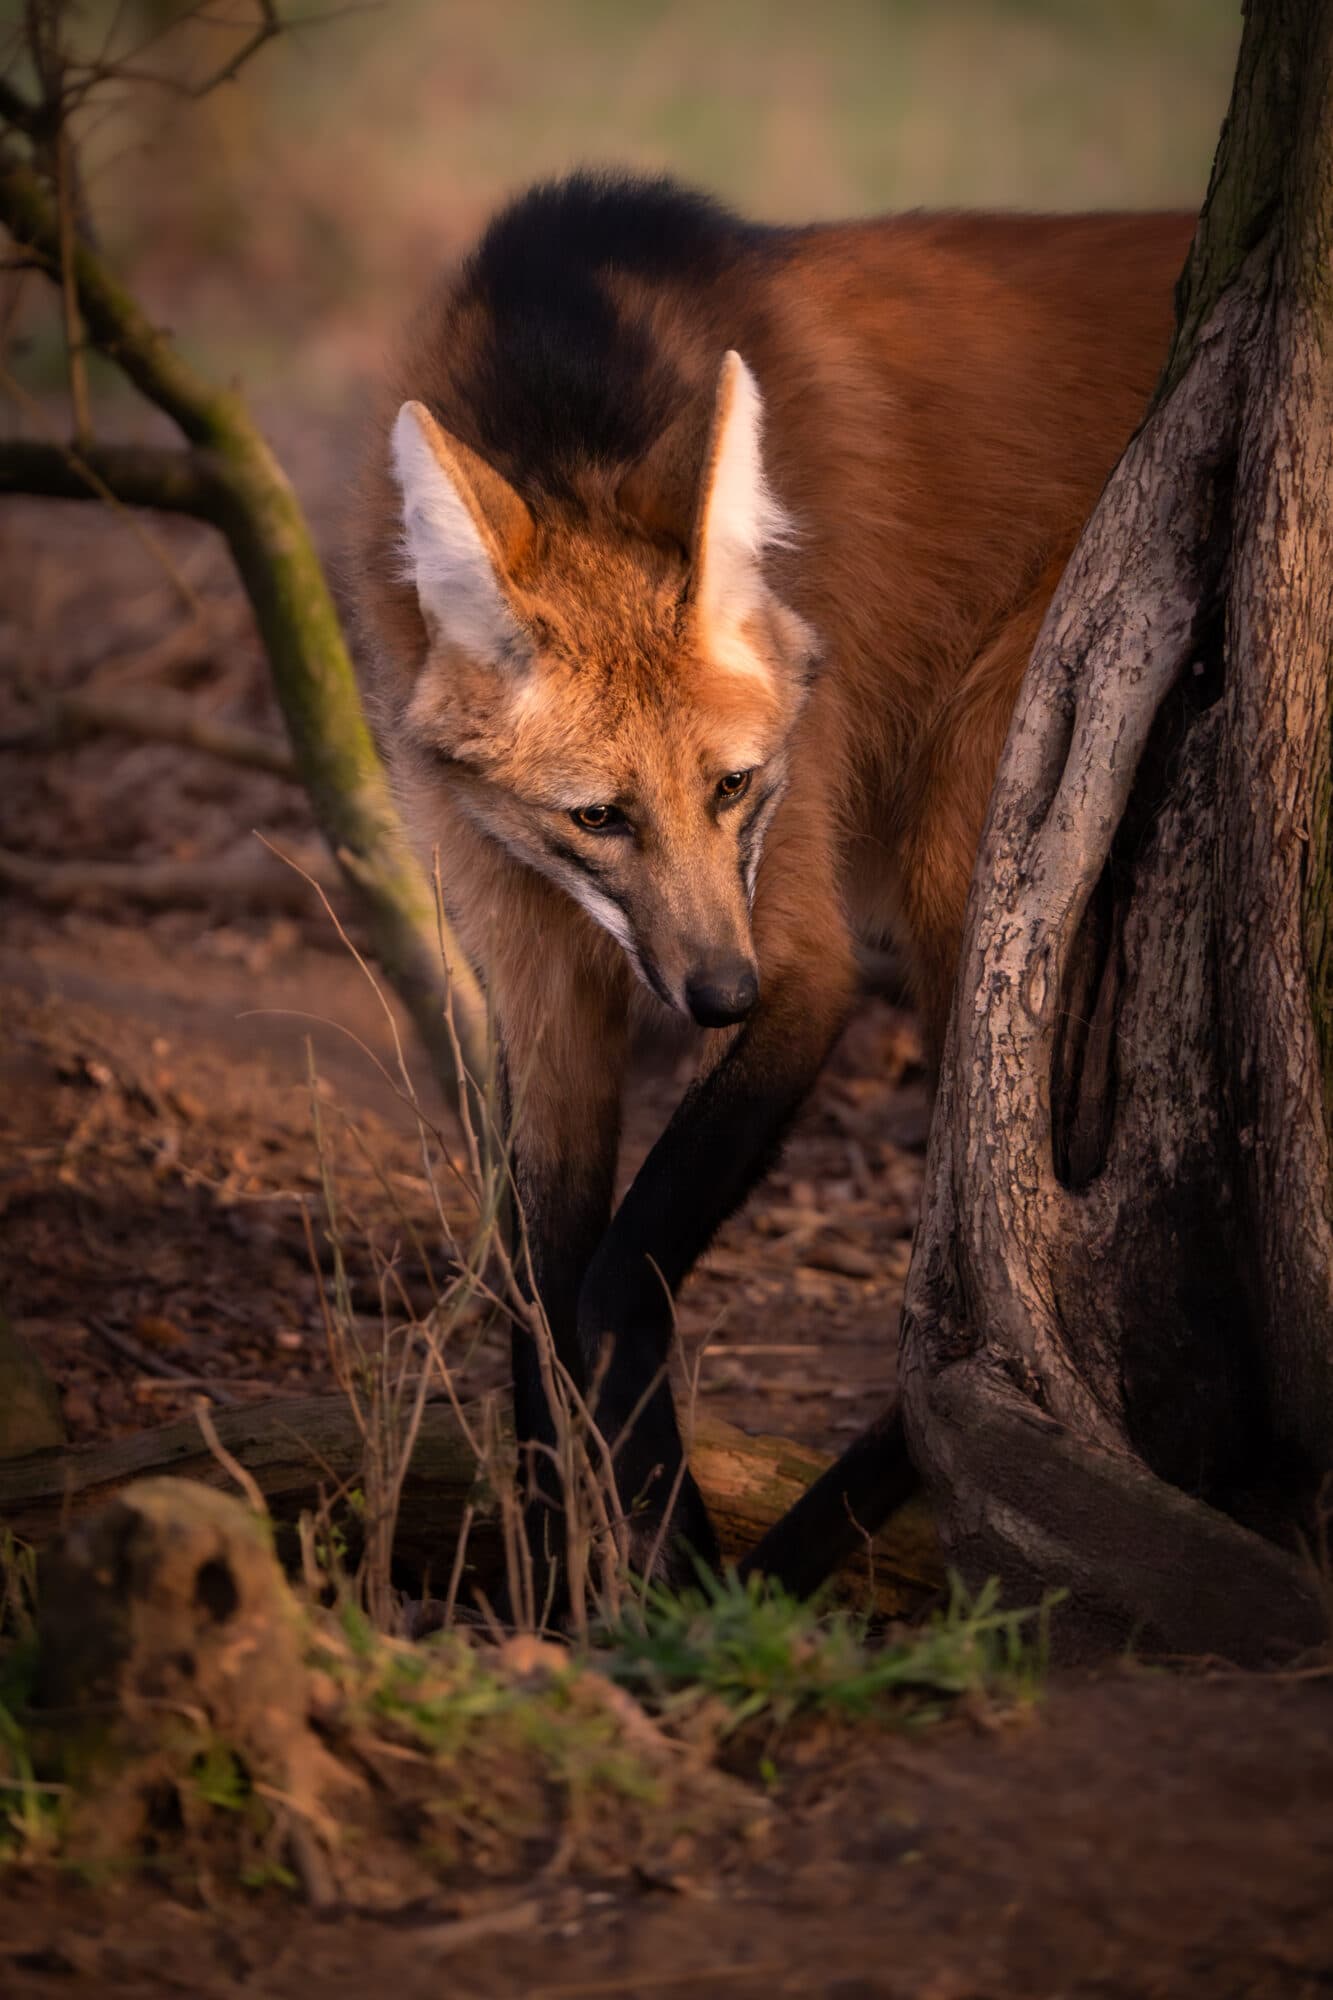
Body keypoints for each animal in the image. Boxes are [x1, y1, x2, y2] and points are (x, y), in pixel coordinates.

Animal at [350, 172, 1190, 1577]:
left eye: (733, 787)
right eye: (599, 816)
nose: (717, 999)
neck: (566, 380)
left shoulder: (801, 949)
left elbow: (611, 1285)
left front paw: (685, 1576)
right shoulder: (537, 968)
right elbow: (540, 1292)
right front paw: (559, 1578)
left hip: (983, 814)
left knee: (1008, 1264)